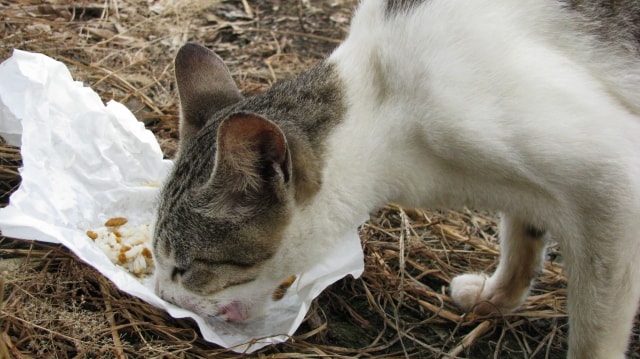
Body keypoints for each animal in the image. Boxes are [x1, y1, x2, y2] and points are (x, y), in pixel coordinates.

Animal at [152, 0, 640, 358]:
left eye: (186, 267)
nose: (161, 295)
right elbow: (524, 231)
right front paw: (497, 297)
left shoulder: (612, 179)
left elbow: (595, 334)